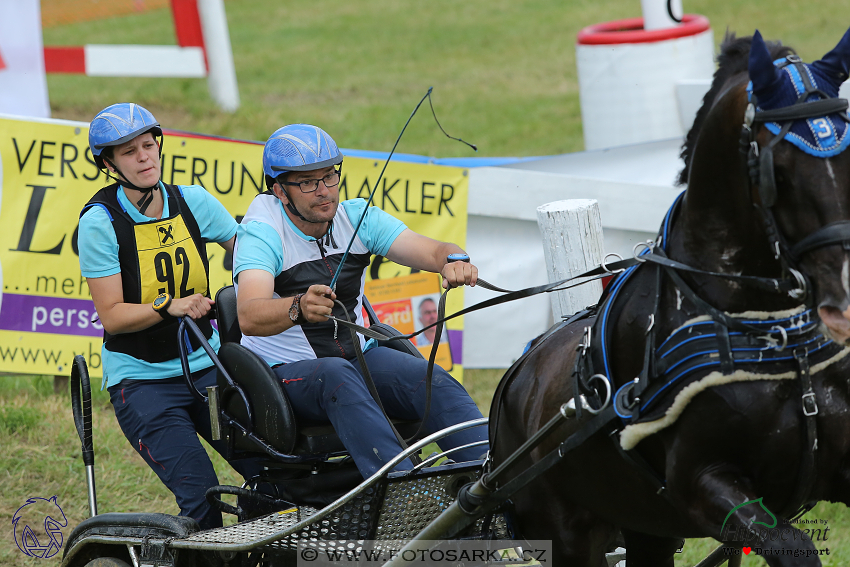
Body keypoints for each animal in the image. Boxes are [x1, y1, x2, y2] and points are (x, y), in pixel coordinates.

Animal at [486, 27, 848, 567]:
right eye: (776, 171)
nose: (843, 296)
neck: (764, 329)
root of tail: (517, 374)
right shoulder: (700, 484)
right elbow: (795, 548)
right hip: (568, 536)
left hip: (645, 526)